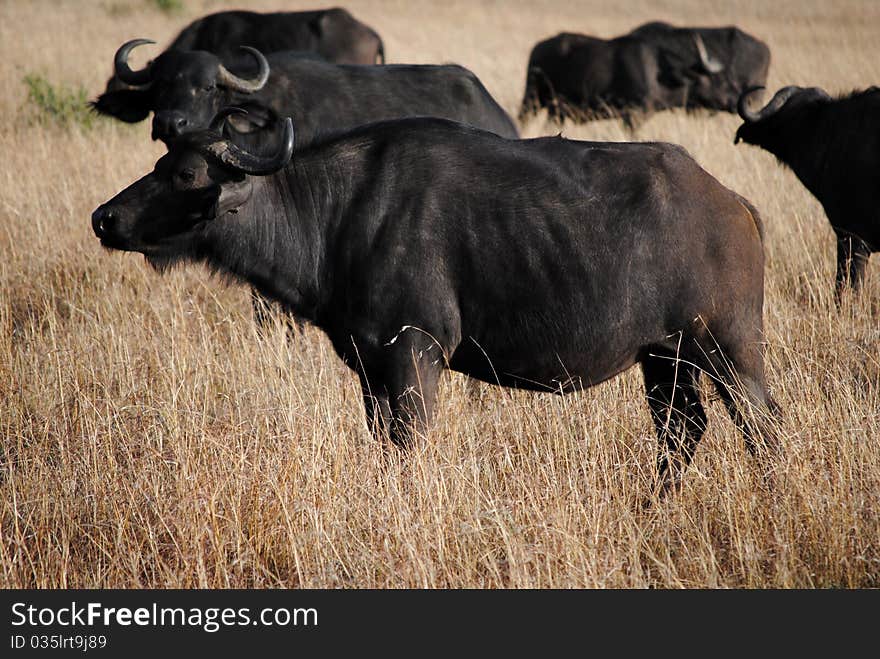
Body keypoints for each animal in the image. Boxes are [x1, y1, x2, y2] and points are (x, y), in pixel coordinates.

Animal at [89, 109, 776, 496]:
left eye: (185, 175)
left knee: (761, 427)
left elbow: (408, 447)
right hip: (664, 359)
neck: (335, 215)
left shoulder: (414, 356)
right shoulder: (370, 367)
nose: (105, 218)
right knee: (682, 430)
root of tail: (732, 203)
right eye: (160, 161)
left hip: (728, 351)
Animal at [524, 21, 768, 127]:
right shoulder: (633, 116)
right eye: (721, 80)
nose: (737, 99)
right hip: (532, 101)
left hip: (556, 111)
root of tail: (538, 47)